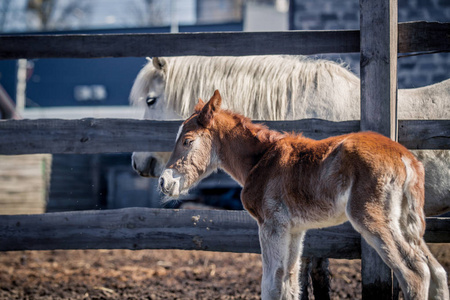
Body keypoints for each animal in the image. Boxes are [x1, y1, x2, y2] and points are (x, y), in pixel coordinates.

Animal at [160, 91, 448, 300]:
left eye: (187, 141)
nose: (164, 181)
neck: (262, 159)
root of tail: (407, 158)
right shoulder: (295, 229)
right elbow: (289, 281)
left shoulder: (271, 225)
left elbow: (272, 284)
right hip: (406, 223)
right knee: (437, 271)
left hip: (372, 218)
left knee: (415, 273)